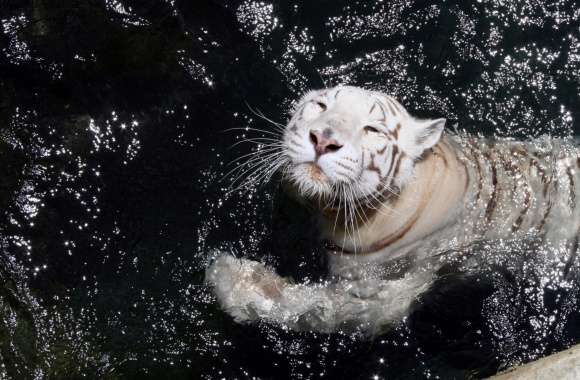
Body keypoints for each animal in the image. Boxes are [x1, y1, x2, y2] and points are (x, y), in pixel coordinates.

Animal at [205, 86, 580, 336]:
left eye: (372, 129)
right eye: (320, 105)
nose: (323, 139)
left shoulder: (386, 294)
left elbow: (312, 307)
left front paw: (232, 280)